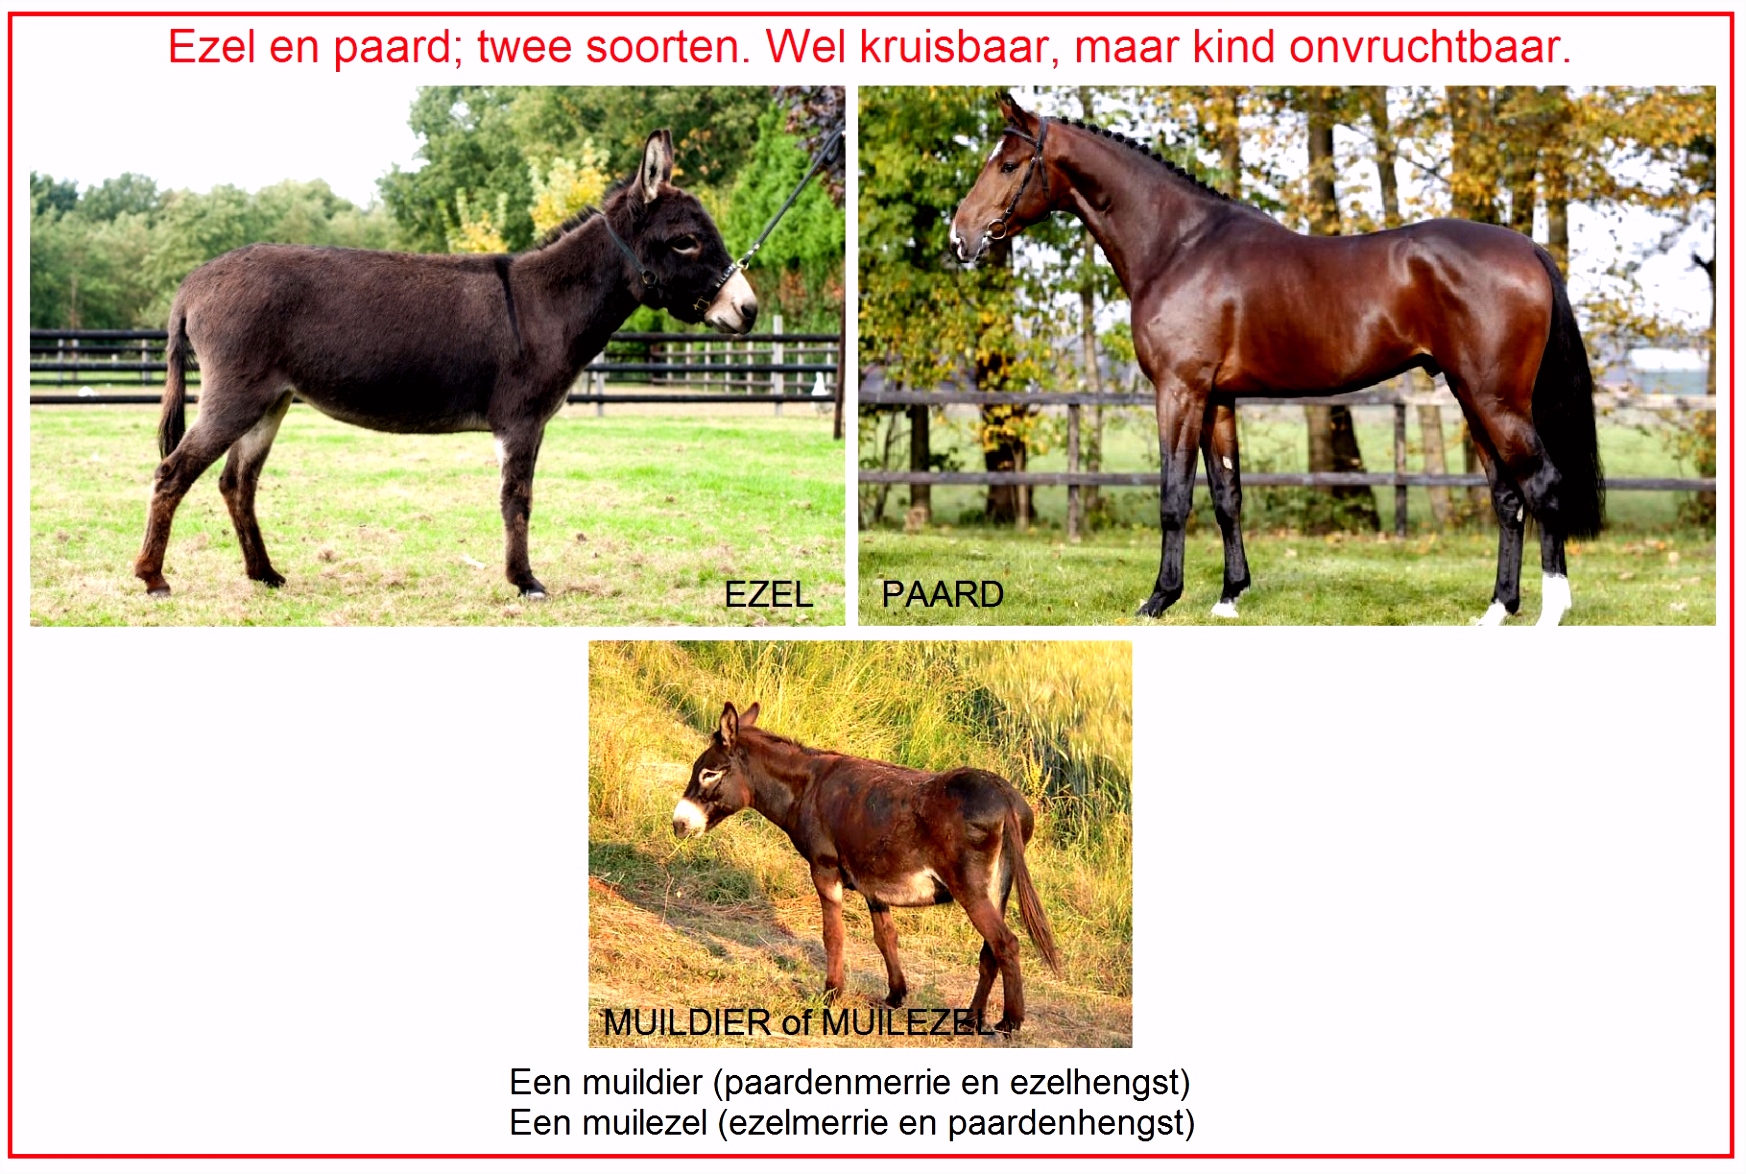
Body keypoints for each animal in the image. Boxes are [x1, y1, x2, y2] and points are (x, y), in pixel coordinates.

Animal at [134, 130, 757, 599]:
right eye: (685, 242)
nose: (748, 309)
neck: (545, 303)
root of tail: (193, 283)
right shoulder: (521, 421)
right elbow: (516, 501)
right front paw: (525, 581)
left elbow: (513, 500)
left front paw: (520, 578)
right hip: (236, 396)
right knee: (173, 473)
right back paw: (154, 578)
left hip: (271, 402)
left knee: (236, 482)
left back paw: (263, 574)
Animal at [671, 702, 1061, 1035]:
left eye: (709, 773)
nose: (678, 824)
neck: (807, 788)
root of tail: (1005, 795)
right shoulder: (874, 883)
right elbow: (885, 937)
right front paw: (895, 996)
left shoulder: (824, 869)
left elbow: (833, 934)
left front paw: (830, 994)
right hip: (998, 888)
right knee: (990, 950)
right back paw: (969, 1020)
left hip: (971, 889)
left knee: (1006, 942)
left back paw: (1009, 1022)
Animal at [950, 93, 1603, 625]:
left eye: (1008, 165)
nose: (961, 237)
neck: (1178, 246)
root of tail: (1528, 249)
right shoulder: (1218, 398)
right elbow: (1226, 496)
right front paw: (1228, 597)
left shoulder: (1179, 391)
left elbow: (1174, 497)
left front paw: (1159, 599)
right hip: (1472, 398)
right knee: (1509, 498)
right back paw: (1497, 610)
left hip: (1496, 400)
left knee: (1543, 485)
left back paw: (1551, 612)